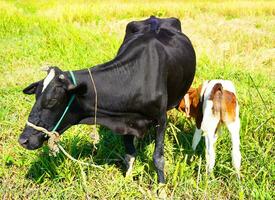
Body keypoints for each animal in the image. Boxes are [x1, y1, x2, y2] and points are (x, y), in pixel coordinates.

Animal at [18, 16, 196, 184]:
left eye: (52, 100)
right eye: (36, 96)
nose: (23, 140)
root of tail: (154, 17)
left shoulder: (161, 118)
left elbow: (158, 158)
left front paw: (161, 187)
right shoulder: (126, 121)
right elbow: (129, 155)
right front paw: (126, 181)